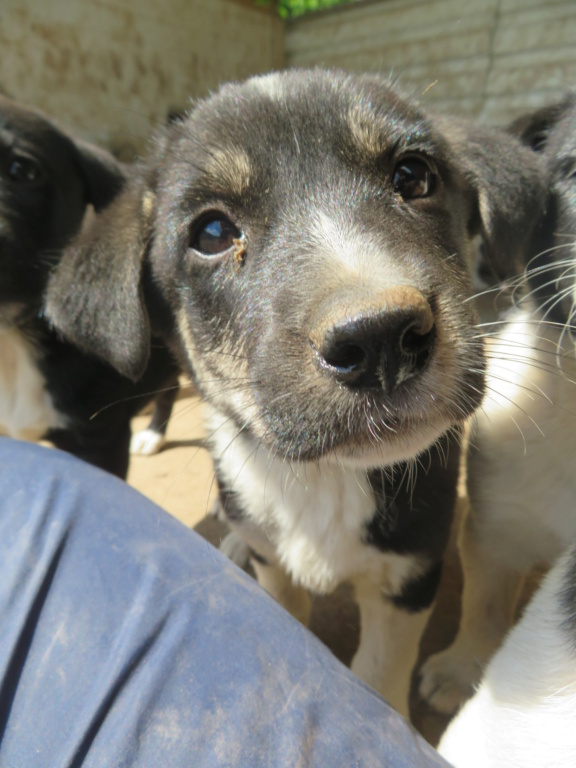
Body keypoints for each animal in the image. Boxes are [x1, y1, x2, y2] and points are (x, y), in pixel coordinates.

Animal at [45, 70, 544, 712]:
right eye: (211, 232)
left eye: (413, 176)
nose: (379, 339)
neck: (326, 478)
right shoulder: (280, 569)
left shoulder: (412, 570)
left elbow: (379, 673)